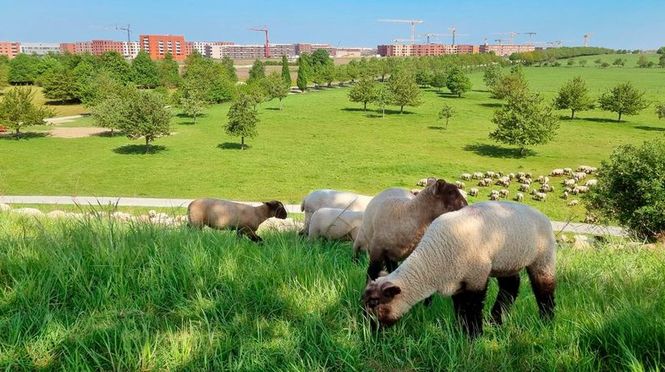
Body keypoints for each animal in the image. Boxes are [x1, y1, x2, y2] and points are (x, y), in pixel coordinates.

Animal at [364, 202, 556, 338]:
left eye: (374, 302)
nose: (369, 331)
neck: (434, 258)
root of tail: (541, 214)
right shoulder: (457, 283)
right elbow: (460, 309)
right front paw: (459, 331)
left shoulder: (476, 277)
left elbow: (472, 308)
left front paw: (474, 336)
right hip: (507, 263)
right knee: (510, 286)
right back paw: (496, 320)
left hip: (543, 258)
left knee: (545, 288)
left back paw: (546, 321)